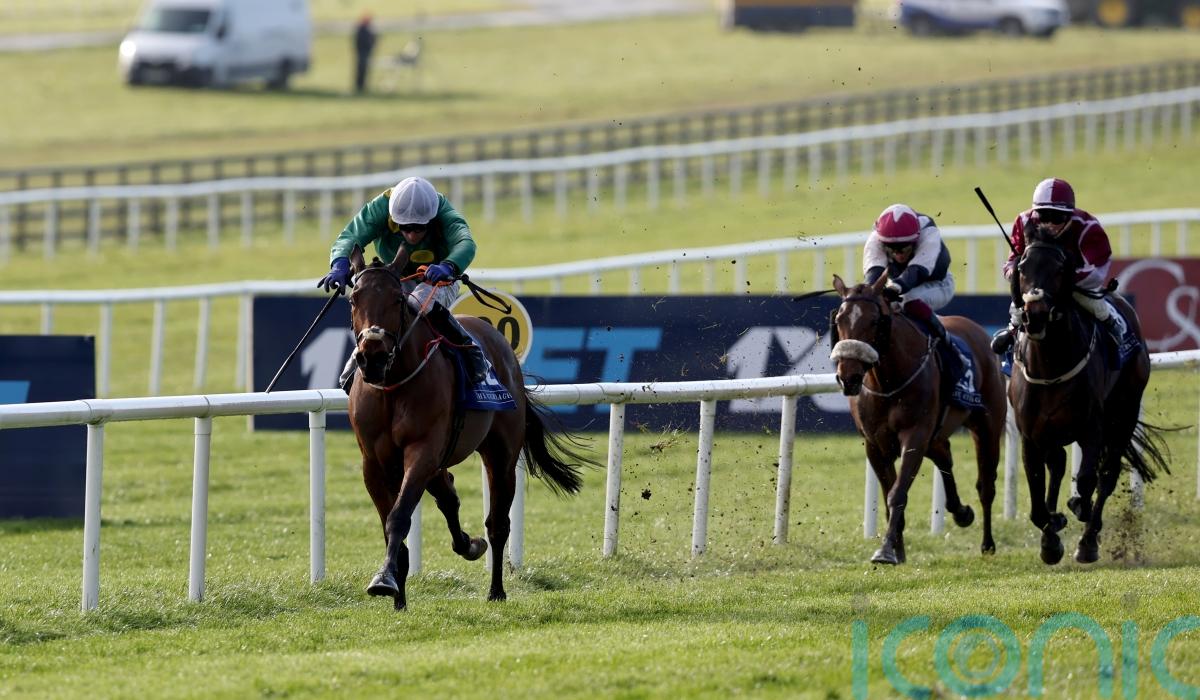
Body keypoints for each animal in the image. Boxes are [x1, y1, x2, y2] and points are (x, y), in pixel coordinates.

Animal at [346, 244, 596, 609]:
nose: (373, 356)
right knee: (448, 494)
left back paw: (495, 588)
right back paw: (468, 545)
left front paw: (384, 580)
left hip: (501, 453)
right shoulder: (373, 464)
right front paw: (396, 595)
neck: (393, 385)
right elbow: (393, 521)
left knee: (497, 523)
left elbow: (399, 516)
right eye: (354, 298)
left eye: (396, 298)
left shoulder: (423, 450)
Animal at [829, 274, 1007, 565]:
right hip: (936, 434)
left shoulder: (915, 435)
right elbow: (888, 495)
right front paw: (897, 550)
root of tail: (979, 331)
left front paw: (886, 550)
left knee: (986, 485)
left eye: (874, 321)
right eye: (840, 320)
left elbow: (897, 494)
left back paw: (988, 543)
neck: (888, 382)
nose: (849, 377)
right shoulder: (875, 445)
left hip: (987, 426)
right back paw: (961, 511)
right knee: (945, 455)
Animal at [1009, 236, 1169, 565]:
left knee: (1106, 475)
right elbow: (1037, 502)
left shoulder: (1092, 428)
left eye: (1059, 269)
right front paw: (1050, 537)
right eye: (1022, 267)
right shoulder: (1031, 435)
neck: (1050, 367)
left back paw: (1087, 540)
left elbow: (1086, 480)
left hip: (1124, 413)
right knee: (1058, 463)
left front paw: (1077, 510)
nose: (1035, 315)